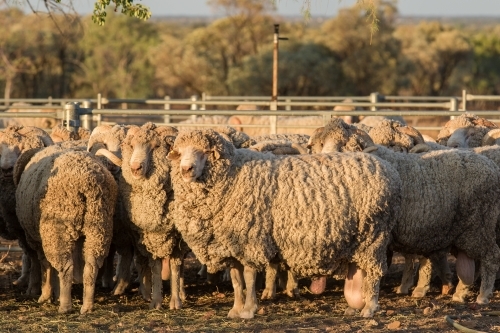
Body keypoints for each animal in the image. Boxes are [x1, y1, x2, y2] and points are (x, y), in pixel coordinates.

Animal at [0, 126, 53, 292]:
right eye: (0, 149)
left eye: (21, 149)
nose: (6, 169)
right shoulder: (19, 226)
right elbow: (29, 253)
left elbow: (32, 254)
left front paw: (34, 286)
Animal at [14, 145, 118, 312]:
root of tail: (86, 183)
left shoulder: (38, 239)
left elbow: (46, 266)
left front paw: (46, 295)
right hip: (99, 227)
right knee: (91, 266)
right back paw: (87, 306)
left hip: (58, 230)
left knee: (66, 268)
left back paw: (65, 306)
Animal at [119, 121, 189, 308]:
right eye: (131, 146)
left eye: (156, 146)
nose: (135, 168)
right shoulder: (149, 237)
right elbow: (156, 268)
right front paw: (156, 301)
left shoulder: (177, 238)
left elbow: (175, 267)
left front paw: (175, 301)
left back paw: (181, 292)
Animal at [168, 128, 402, 318]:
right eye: (180, 152)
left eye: (205, 152)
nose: (186, 169)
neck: (233, 174)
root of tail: (387, 169)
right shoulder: (231, 244)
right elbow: (236, 280)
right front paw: (235, 309)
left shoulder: (251, 238)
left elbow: (249, 277)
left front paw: (248, 310)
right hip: (362, 238)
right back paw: (356, 306)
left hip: (374, 235)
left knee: (374, 273)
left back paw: (370, 308)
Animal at [308, 116, 500, 304]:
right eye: (322, 143)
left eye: (345, 143)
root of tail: (490, 166)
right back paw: (460, 292)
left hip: (480, 226)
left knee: (491, 256)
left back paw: (482, 295)